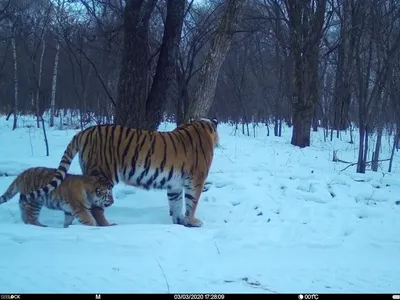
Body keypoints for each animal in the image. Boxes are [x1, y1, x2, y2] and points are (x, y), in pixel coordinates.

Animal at [20, 118, 219, 226]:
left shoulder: (175, 185)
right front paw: (193, 222)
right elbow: (192, 202)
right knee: (96, 207)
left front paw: (179, 222)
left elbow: (176, 203)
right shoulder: (196, 179)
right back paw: (108, 225)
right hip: (103, 175)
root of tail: (84, 132)